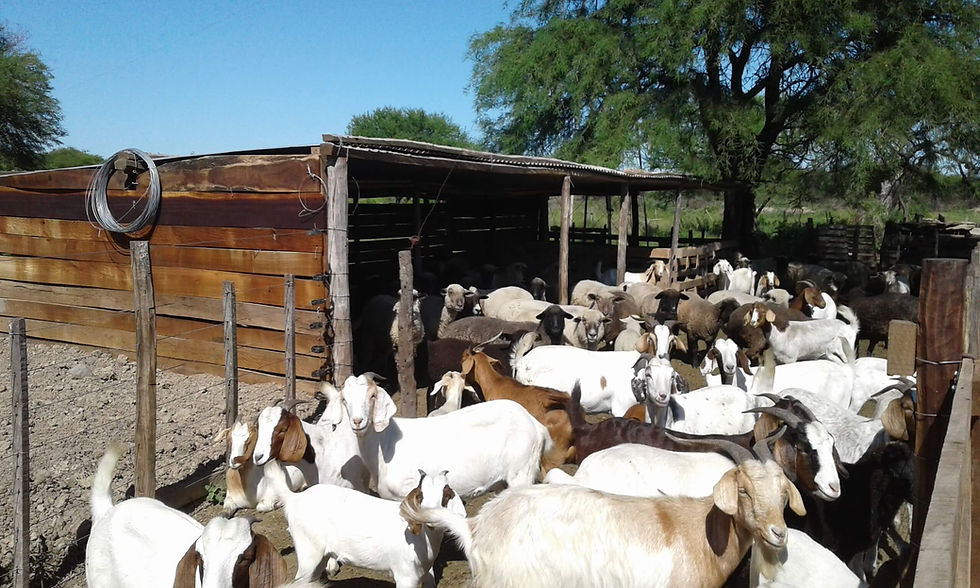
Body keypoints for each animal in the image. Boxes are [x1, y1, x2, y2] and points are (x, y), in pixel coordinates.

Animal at [322, 373, 553, 499]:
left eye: (372, 396)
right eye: (344, 399)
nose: (358, 421)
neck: (384, 444)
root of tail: (536, 425)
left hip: (521, 473)